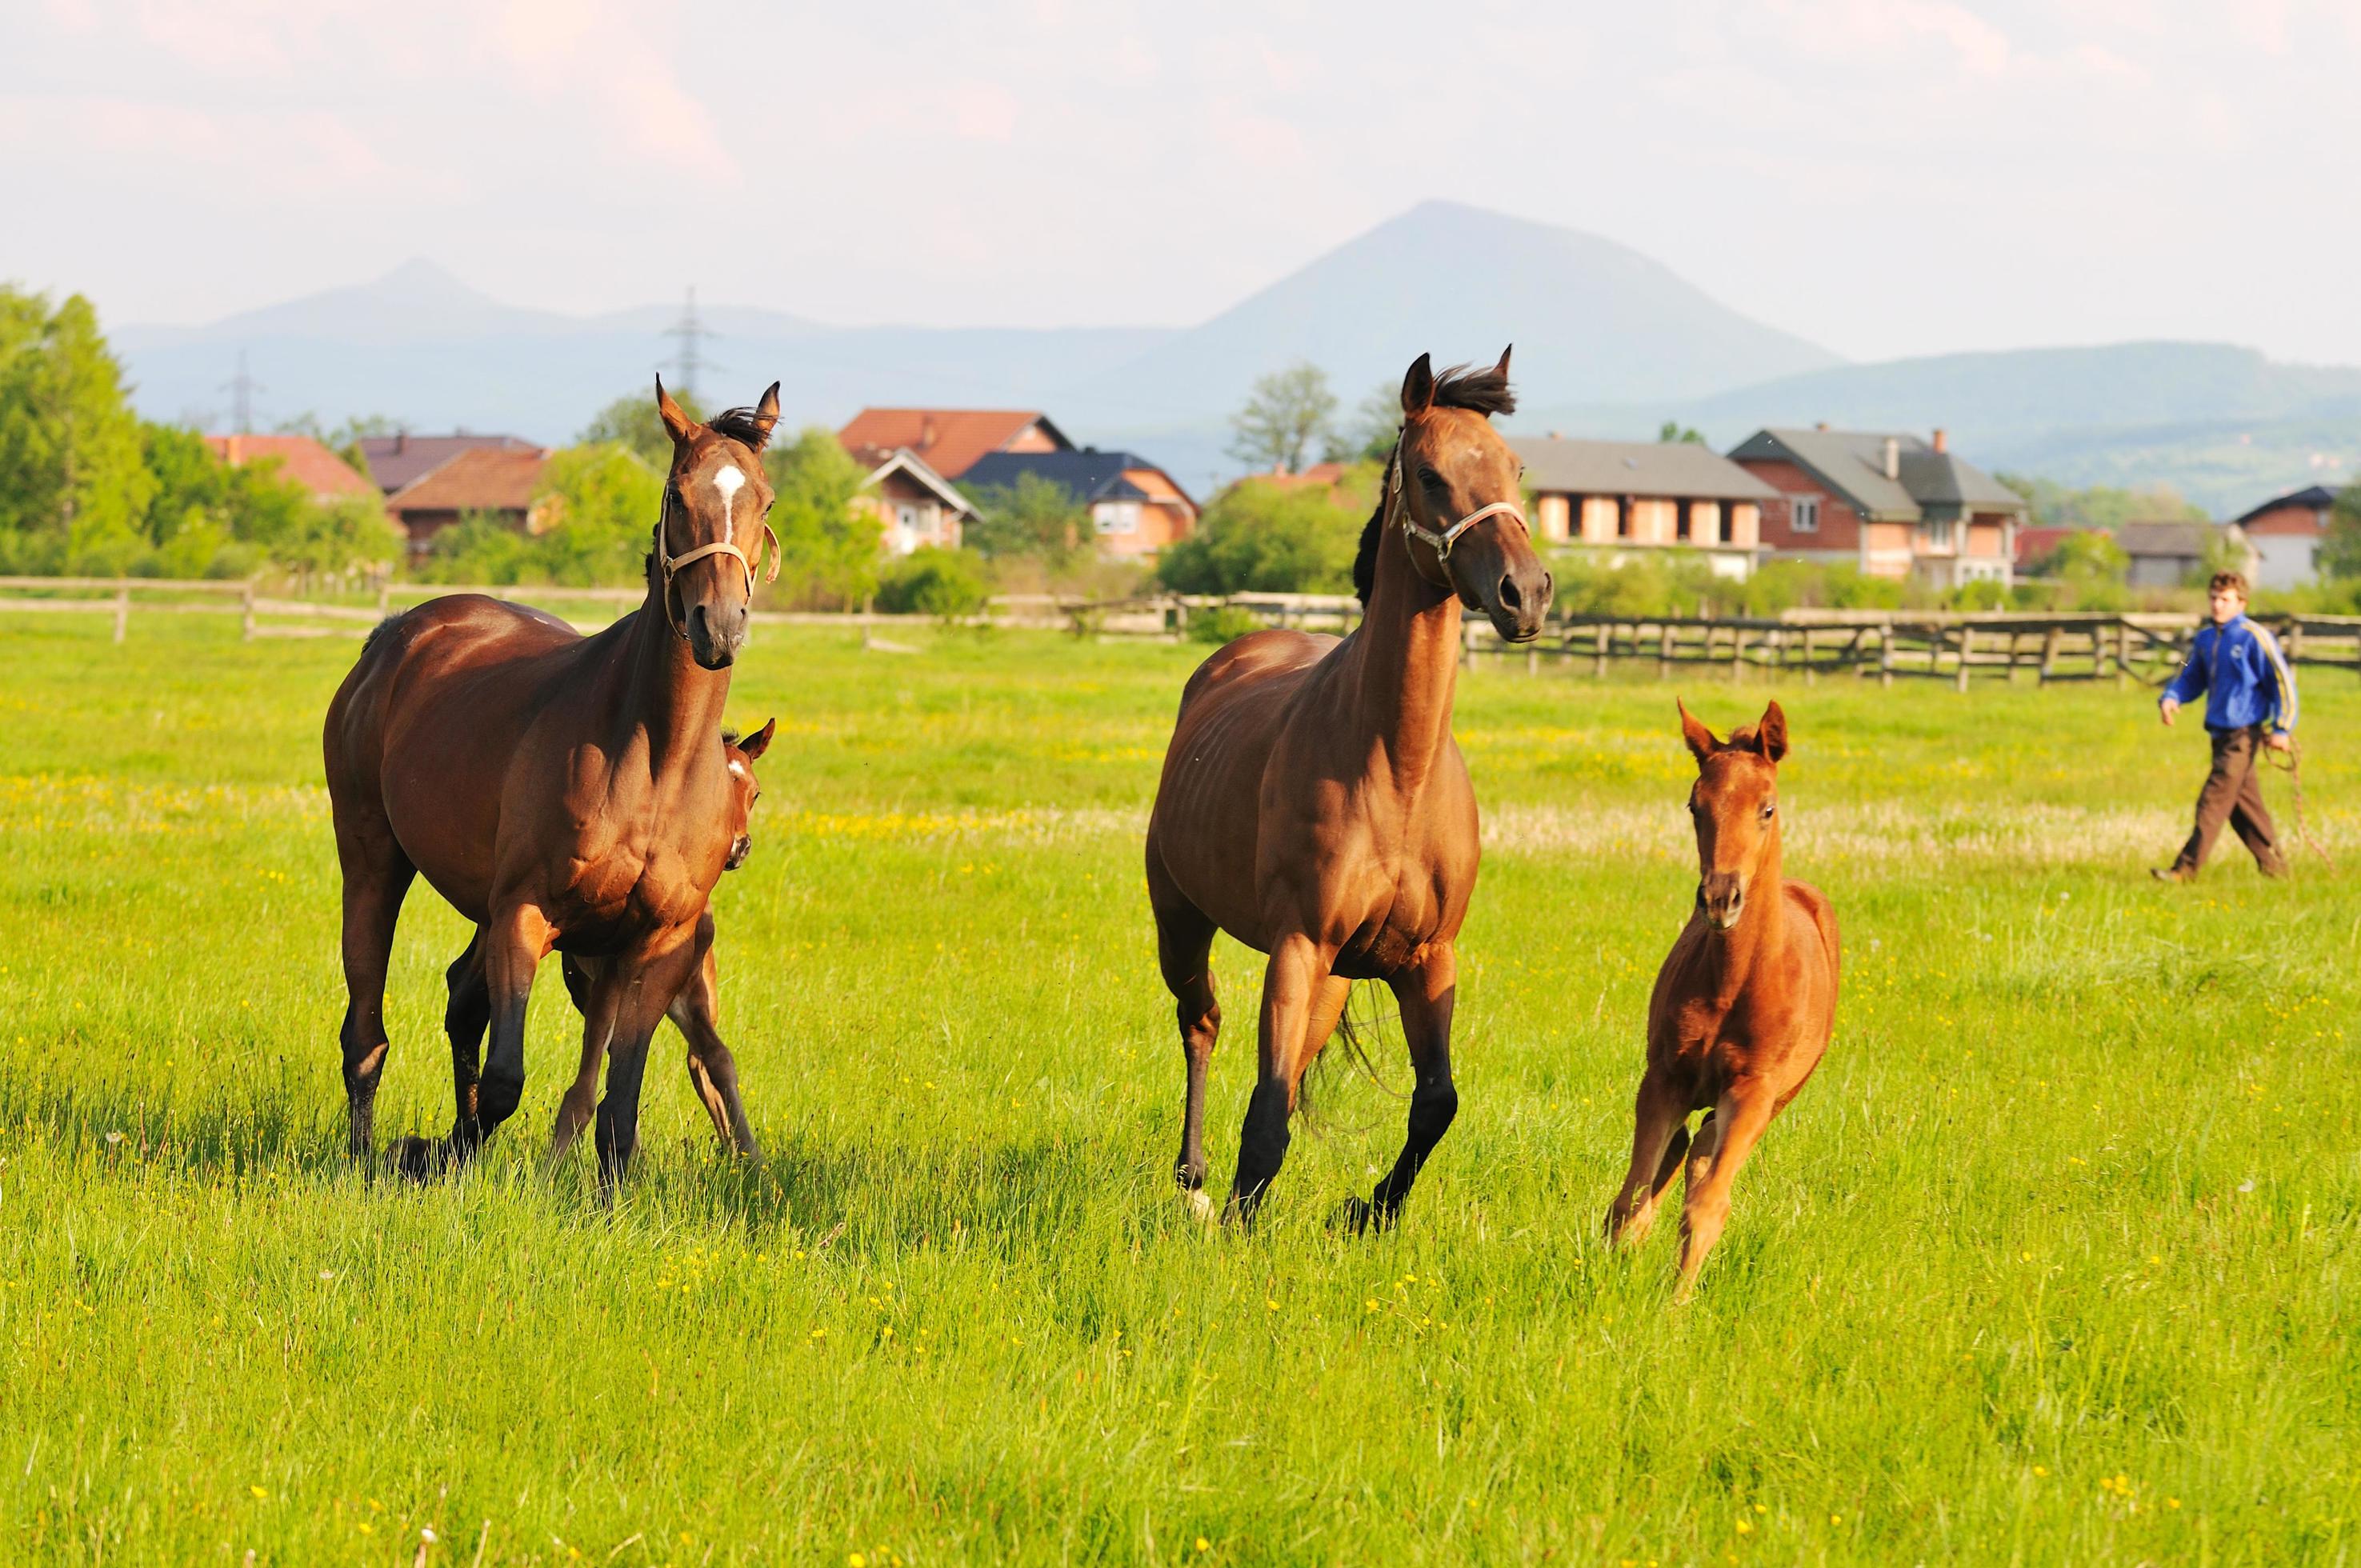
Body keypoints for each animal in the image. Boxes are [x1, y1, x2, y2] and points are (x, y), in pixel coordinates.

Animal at [328, 382, 783, 1176]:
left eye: (763, 499)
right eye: (677, 492)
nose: (719, 624)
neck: (655, 763)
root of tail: (394, 635)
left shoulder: (657, 944)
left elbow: (619, 1107)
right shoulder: (525, 914)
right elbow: (505, 1082)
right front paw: (437, 1152)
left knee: (461, 1000)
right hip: (372, 859)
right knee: (367, 1033)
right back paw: (366, 1151)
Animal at [1142, 349, 1548, 1227]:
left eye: (1514, 468)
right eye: (1430, 474)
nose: (1525, 593)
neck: (1395, 773)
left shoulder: (1426, 960)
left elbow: (1435, 1102)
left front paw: (1371, 1210)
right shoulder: (1297, 945)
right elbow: (1264, 1115)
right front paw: (1240, 1220)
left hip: (1328, 976)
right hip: (1182, 920)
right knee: (1201, 1022)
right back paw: (1194, 1180)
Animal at [1605, 703, 1841, 1294]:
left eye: (1767, 808)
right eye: (1695, 806)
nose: (1720, 898)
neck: (1736, 982)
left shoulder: (1753, 1092)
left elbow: (1708, 1205)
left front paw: (1675, 1303)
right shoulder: (1664, 1078)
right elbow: (1632, 1196)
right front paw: (1608, 1281)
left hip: (1773, 1101)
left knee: (1703, 1159)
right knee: (1681, 1156)